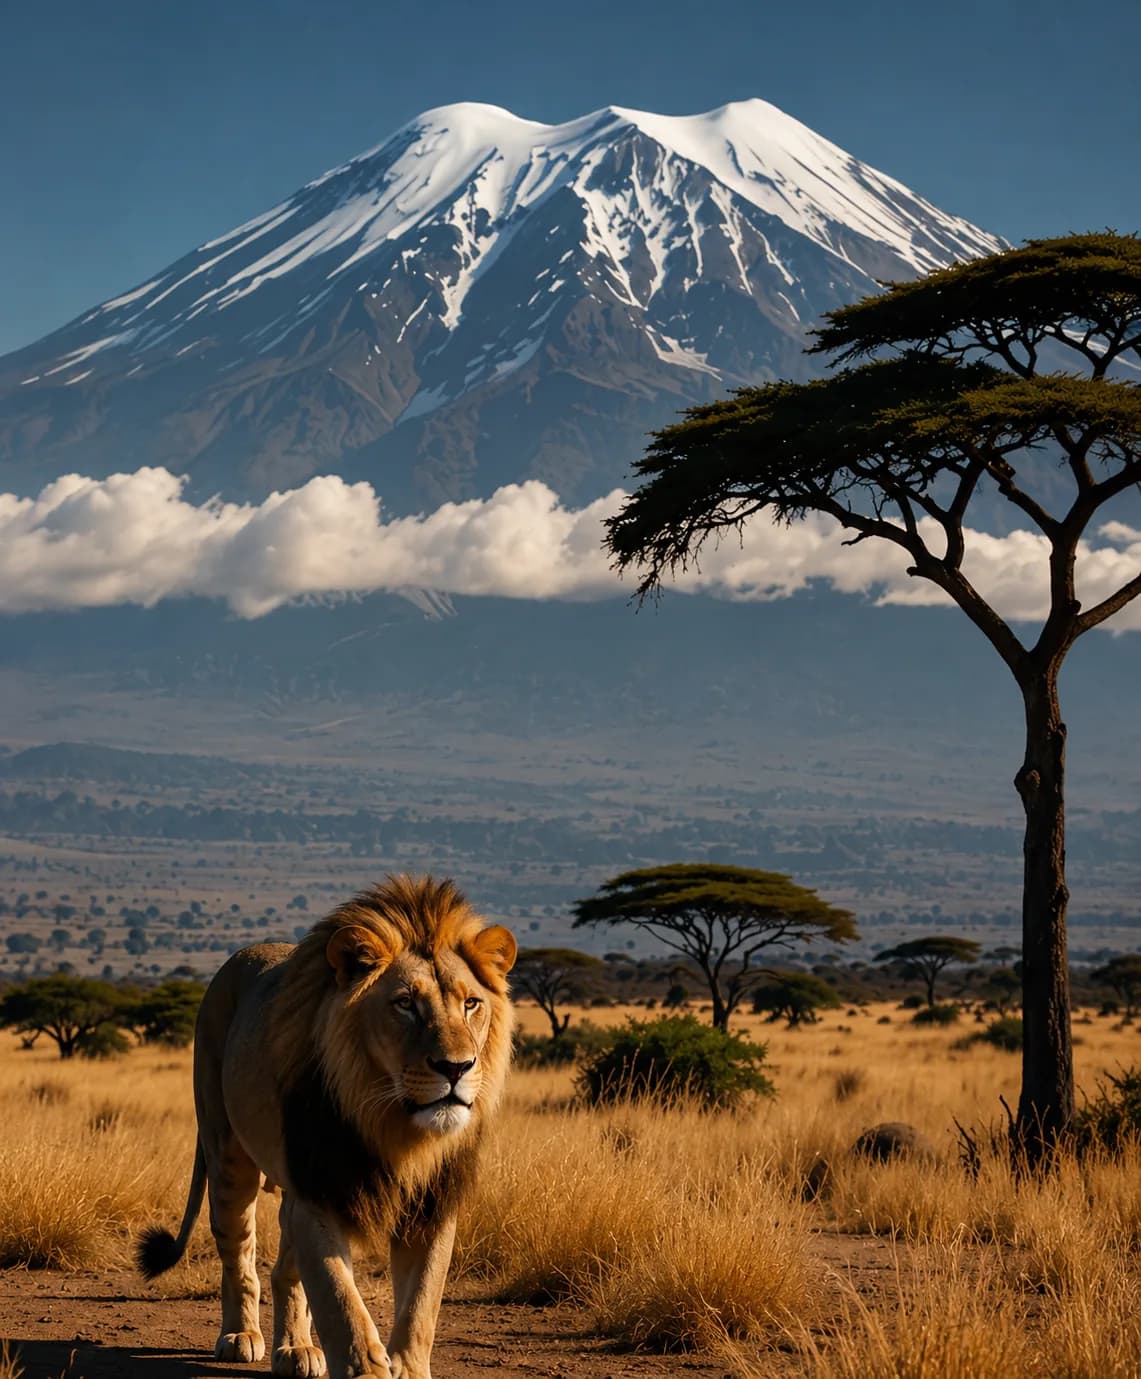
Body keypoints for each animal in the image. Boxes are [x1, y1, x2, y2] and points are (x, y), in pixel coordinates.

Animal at [137, 875, 516, 1379]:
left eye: (471, 1003)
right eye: (405, 1005)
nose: (456, 1067)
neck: (395, 1128)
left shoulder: (433, 1204)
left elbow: (421, 1304)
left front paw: (407, 1367)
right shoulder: (320, 1192)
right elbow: (341, 1302)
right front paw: (367, 1368)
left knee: (285, 1271)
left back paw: (297, 1347)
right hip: (228, 1160)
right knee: (238, 1256)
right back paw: (241, 1336)